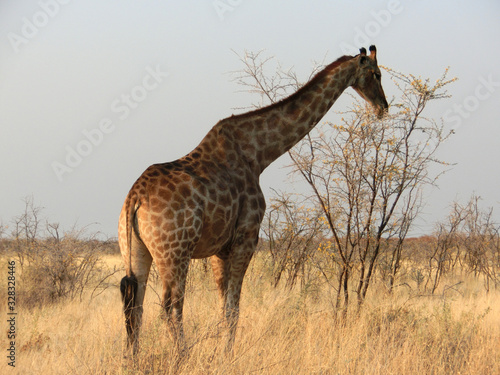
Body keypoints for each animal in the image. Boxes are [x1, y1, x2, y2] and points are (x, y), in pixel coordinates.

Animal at [119, 44, 388, 356]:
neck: (259, 154)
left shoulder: (219, 249)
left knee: (135, 305)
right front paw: (227, 356)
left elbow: (224, 307)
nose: (384, 107)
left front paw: (222, 352)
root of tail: (134, 199)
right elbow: (233, 308)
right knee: (170, 307)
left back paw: (133, 360)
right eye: (376, 73)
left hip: (136, 250)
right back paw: (181, 357)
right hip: (175, 252)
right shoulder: (246, 236)